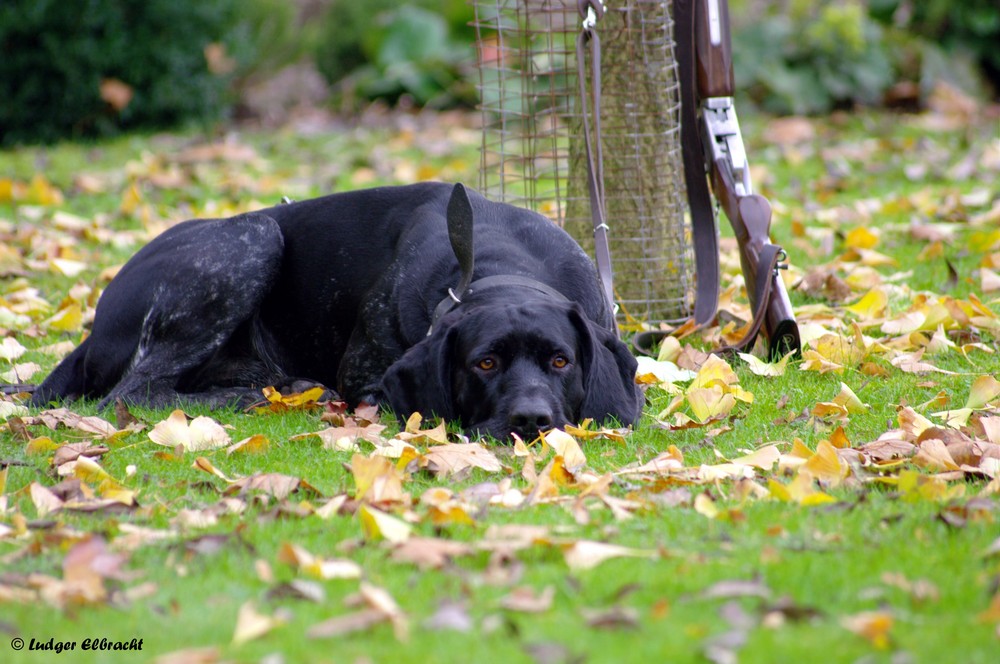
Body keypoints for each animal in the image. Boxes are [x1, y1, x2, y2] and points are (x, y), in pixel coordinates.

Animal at [33, 183, 640, 440]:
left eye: (561, 362)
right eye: (484, 364)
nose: (531, 421)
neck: (499, 263)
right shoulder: (369, 380)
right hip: (253, 237)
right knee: (133, 392)